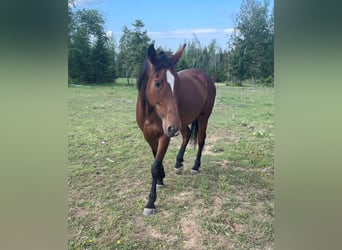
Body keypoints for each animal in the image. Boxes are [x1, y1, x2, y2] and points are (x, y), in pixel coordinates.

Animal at [135, 44, 215, 216]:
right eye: (157, 83)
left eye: (177, 83)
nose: (172, 127)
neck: (150, 113)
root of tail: (205, 76)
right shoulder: (149, 136)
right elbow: (156, 159)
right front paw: (160, 179)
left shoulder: (164, 136)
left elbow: (155, 165)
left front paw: (150, 203)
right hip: (182, 122)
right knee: (187, 135)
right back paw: (179, 163)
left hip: (201, 117)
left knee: (201, 140)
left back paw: (195, 167)